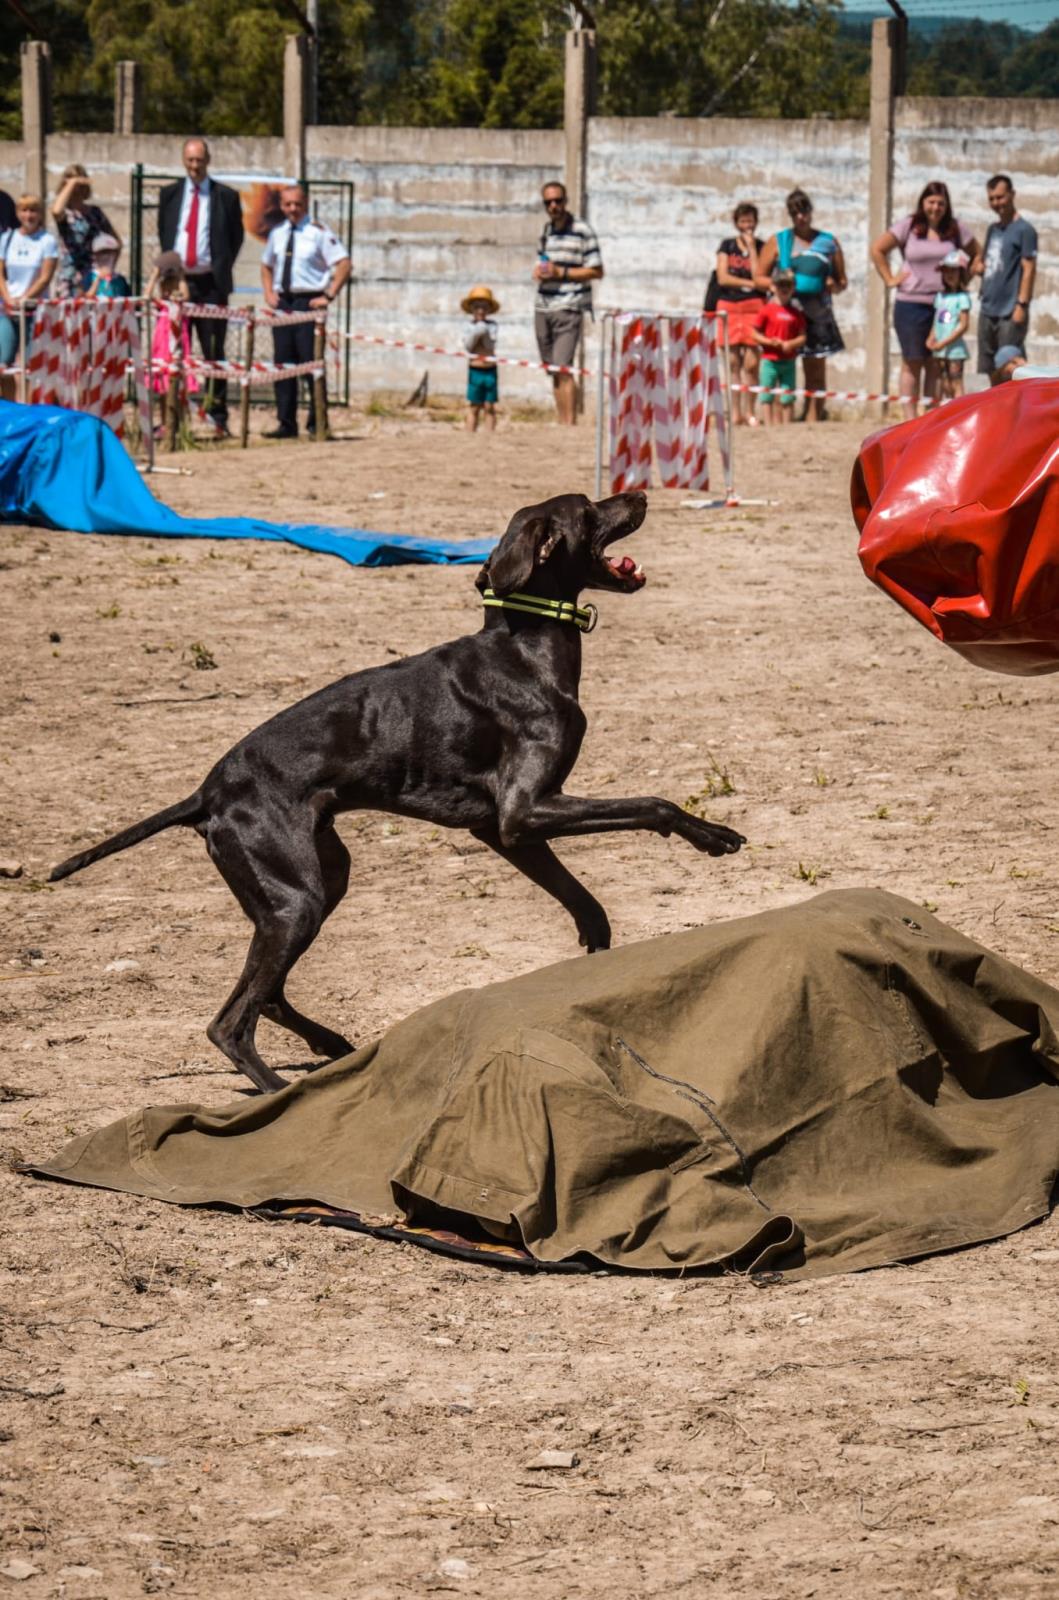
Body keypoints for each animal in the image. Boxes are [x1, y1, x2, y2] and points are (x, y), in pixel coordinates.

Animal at [51, 489, 745, 1088]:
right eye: (587, 506)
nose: (642, 493)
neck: (525, 650)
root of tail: (208, 792)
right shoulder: (525, 813)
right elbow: (653, 803)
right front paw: (712, 835)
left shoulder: (504, 832)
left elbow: (585, 900)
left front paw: (595, 949)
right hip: (296, 901)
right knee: (231, 1023)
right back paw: (278, 1090)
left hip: (315, 883)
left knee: (267, 995)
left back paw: (329, 1043)